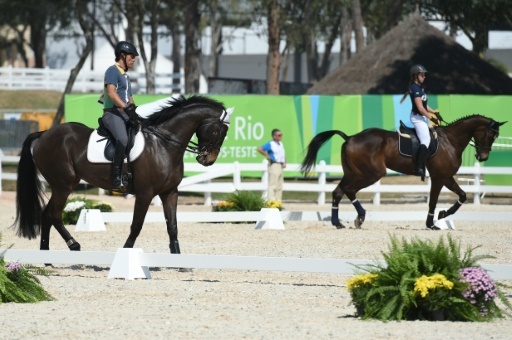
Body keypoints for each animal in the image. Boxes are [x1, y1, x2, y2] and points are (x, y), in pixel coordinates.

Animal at [14, 94, 233, 254]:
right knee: (54, 214)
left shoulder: (170, 192)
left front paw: (177, 258)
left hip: (65, 184)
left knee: (47, 214)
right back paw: (73, 245)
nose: (208, 160)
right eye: (218, 131)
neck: (164, 143)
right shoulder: (145, 193)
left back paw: (47, 254)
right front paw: (126, 252)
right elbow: (136, 225)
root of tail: (44, 134)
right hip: (63, 185)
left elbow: (172, 226)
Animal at [302, 115, 506, 230]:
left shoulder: (447, 177)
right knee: (349, 190)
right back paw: (360, 218)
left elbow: (462, 196)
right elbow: (433, 201)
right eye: (490, 135)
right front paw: (432, 223)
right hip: (371, 174)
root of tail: (350, 137)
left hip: (353, 173)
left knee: (338, 191)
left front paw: (442, 215)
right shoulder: (440, 177)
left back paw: (338, 223)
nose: (483, 156)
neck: (450, 140)